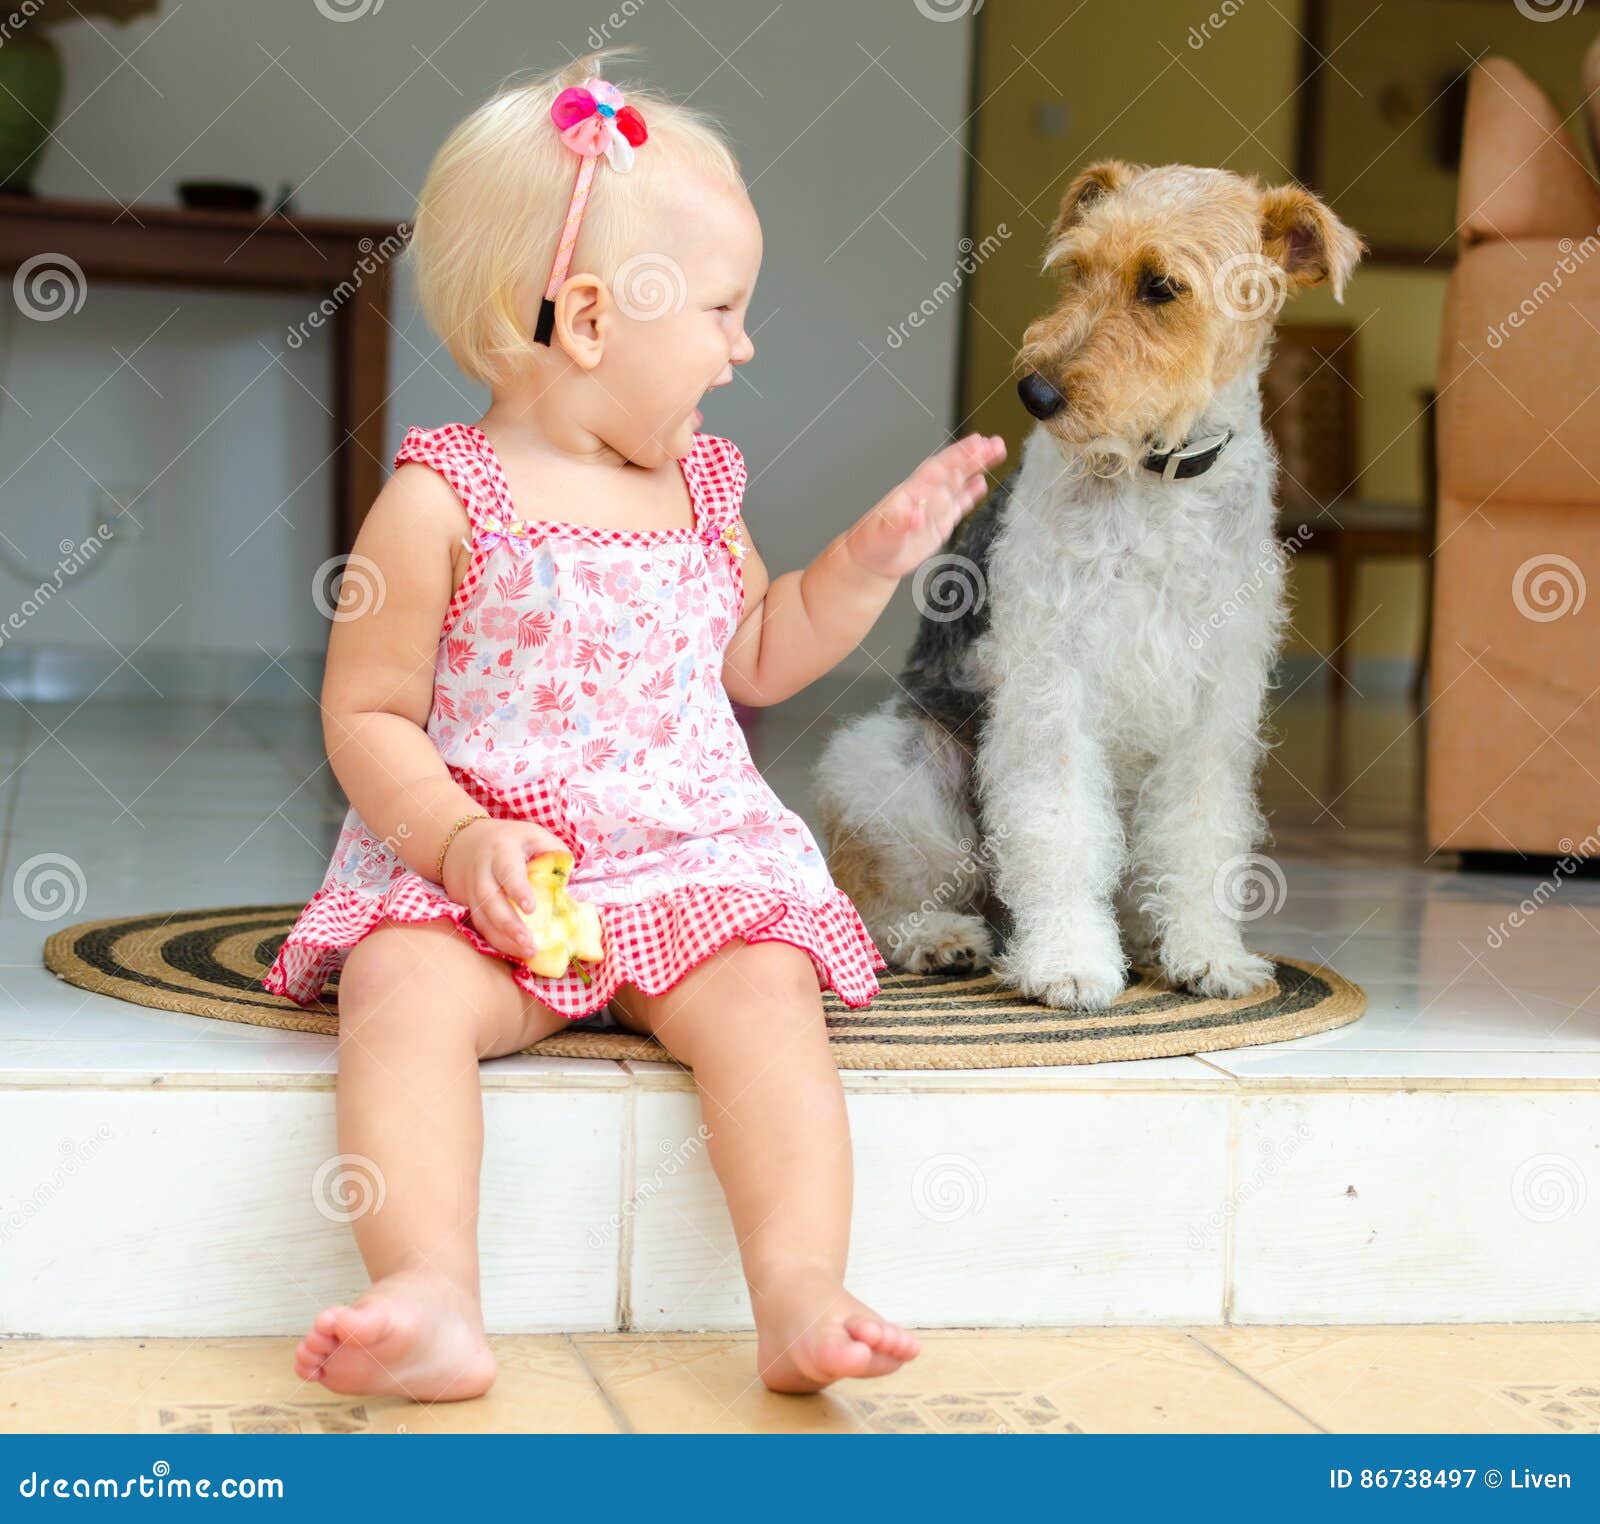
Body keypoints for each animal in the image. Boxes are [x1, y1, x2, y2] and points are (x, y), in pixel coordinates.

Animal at [812, 160, 1363, 1011]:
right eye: (1076, 270)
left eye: (1163, 286)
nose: (1036, 394)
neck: (1158, 477)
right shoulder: (1052, 689)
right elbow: (1060, 827)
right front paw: (1069, 964)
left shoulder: (1216, 705)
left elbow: (1201, 833)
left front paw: (1208, 956)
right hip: (898, 770)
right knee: (875, 894)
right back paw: (941, 940)